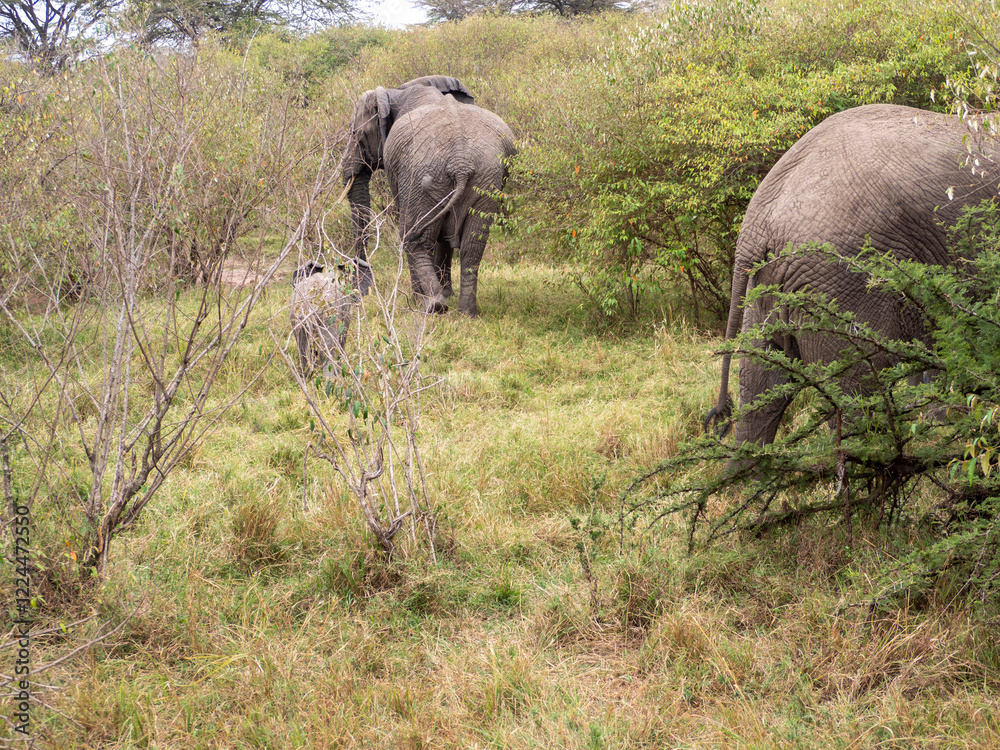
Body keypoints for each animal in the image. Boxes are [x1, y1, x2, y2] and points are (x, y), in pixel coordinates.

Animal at [341, 75, 516, 317]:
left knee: (414, 237)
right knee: (473, 245)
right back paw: (466, 312)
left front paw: (424, 299)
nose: (358, 292)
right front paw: (448, 293)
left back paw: (432, 305)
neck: (397, 92)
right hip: (486, 179)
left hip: (423, 176)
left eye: (355, 134)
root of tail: (460, 162)